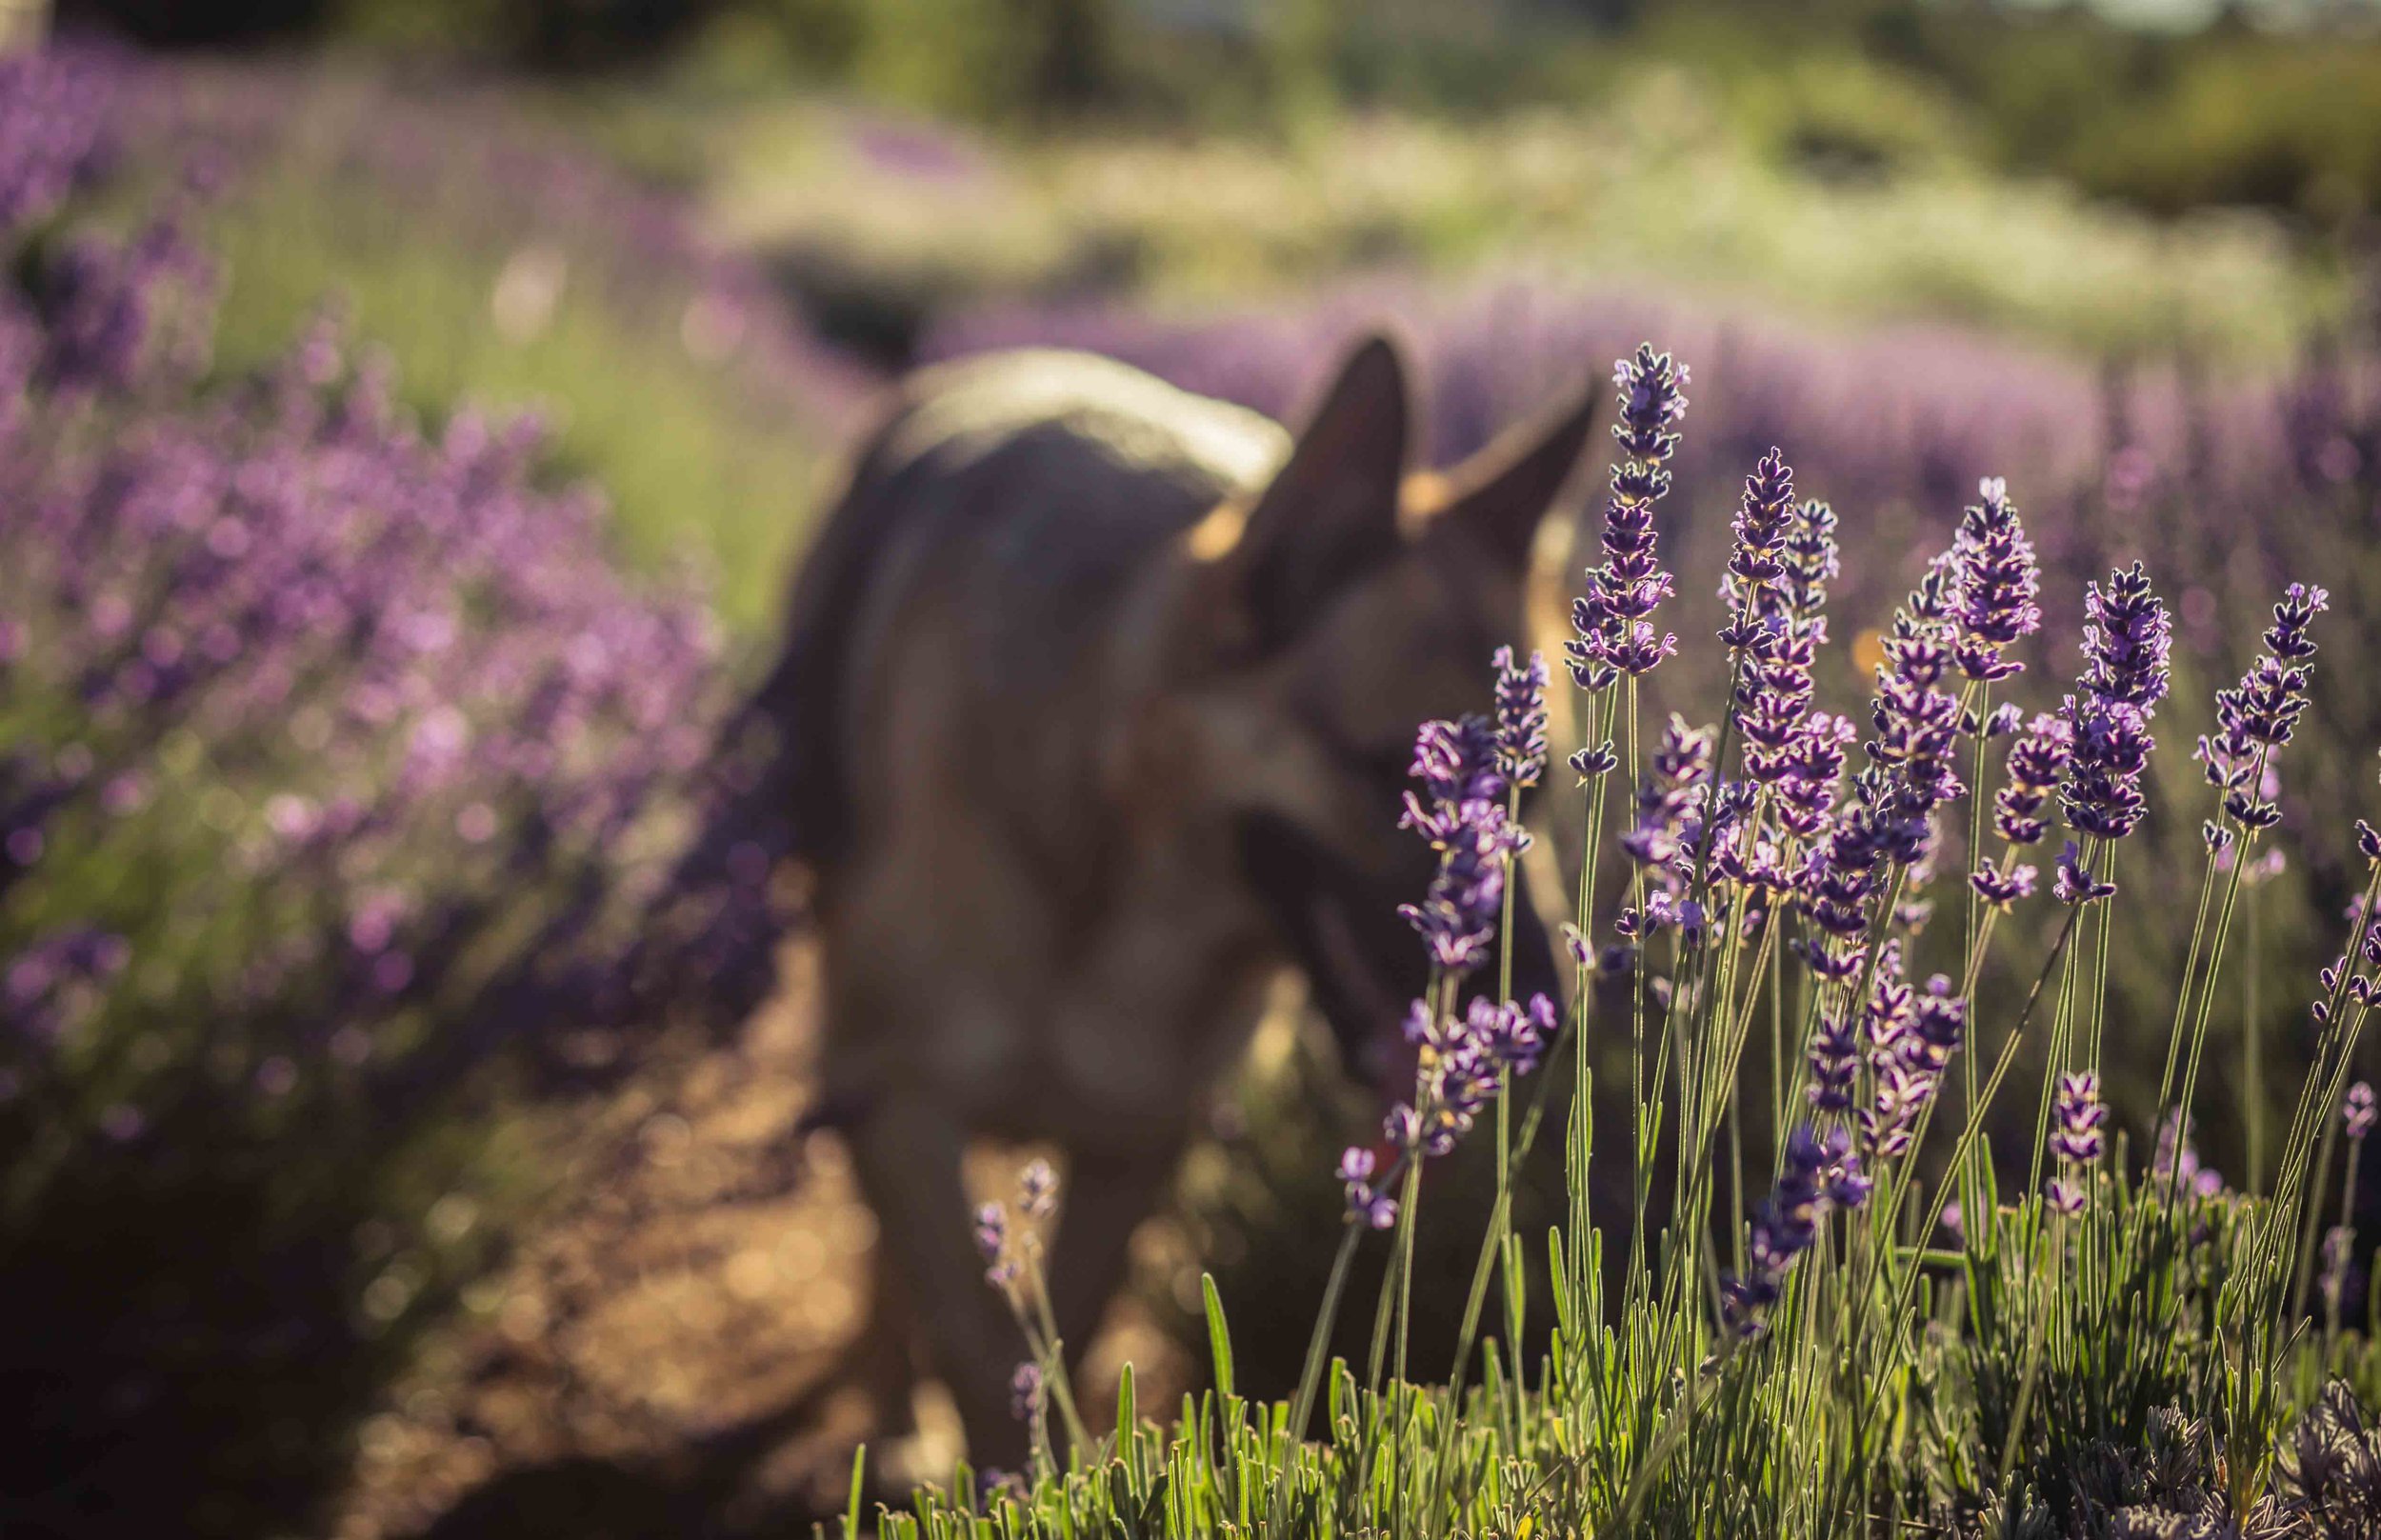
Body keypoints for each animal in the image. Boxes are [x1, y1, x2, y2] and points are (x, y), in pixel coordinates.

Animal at [762, 337, 1600, 1466]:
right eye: (1402, 776)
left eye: (1533, 793)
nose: (1546, 1023)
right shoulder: (897, 1099)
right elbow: (983, 1357)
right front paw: (999, 1475)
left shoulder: (1135, 1143)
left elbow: (1057, 1339)